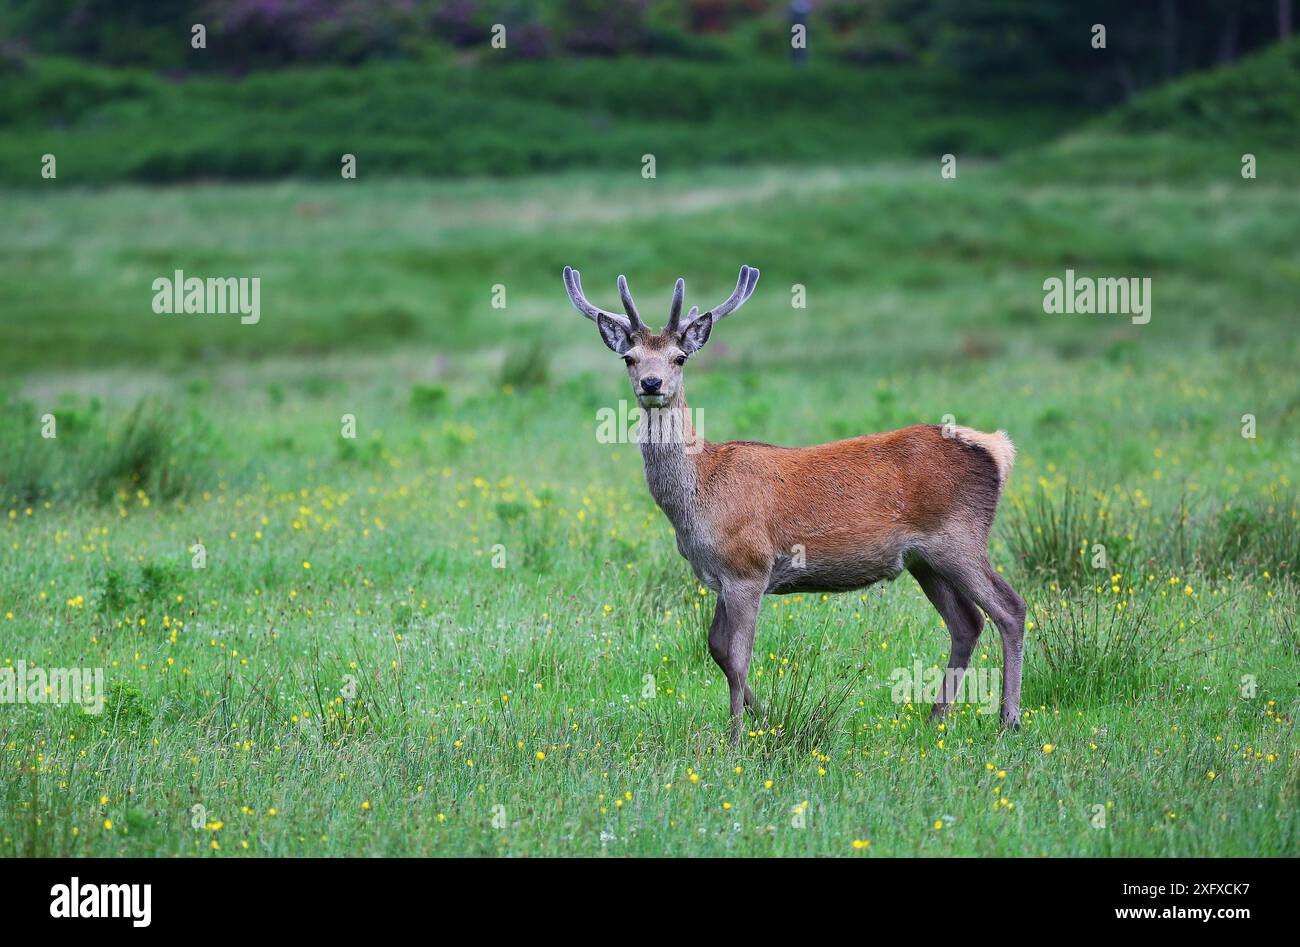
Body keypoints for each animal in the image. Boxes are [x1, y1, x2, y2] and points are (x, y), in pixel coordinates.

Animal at [563, 264, 1026, 746]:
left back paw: (1008, 718)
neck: (698, 499)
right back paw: (936, 717)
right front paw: (765, 717)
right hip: (925, 559)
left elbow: (738, 657)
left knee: (1010, 608)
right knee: (967, 623)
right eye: (629, 357)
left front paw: (735, 738)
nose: (651, 384)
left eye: (679, 357)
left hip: (960, 538)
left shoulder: (748, 567)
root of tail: (998, 449)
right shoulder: (719, 575)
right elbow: (717, 650)